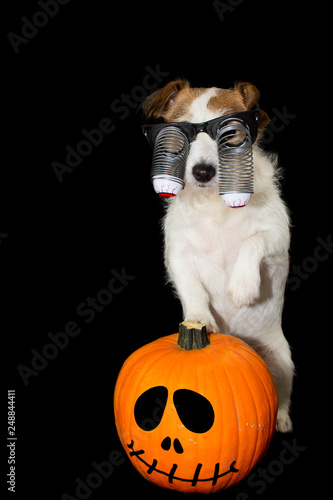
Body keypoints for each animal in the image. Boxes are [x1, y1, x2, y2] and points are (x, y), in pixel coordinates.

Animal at [140, 80, 294, 432]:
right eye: (179, 134)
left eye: (232, 135)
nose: (203, 171)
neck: (214, 203)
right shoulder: (177, 254)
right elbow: (192, 288)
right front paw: (200, 317)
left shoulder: (278, 237)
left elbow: (254, 241)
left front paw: (243, 285)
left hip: (282, 359)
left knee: (282, 395)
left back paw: (281, 418)